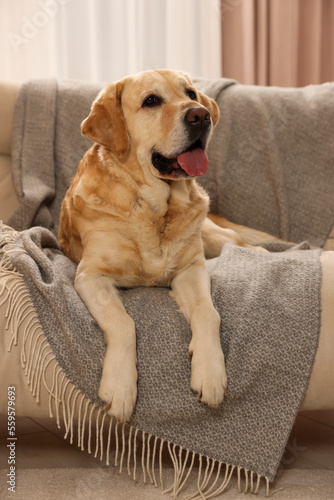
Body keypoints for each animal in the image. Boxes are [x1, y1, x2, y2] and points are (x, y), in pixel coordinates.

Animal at [58, 69, 274, 422]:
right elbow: (123, 322)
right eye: (151, 101)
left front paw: (210, 373)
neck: (154, 209)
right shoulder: (90, 275)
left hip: (212, 236)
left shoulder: (191, 269)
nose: (200, 115)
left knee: (247, 246)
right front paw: (120, 386)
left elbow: (208, 313)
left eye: (191, 94)